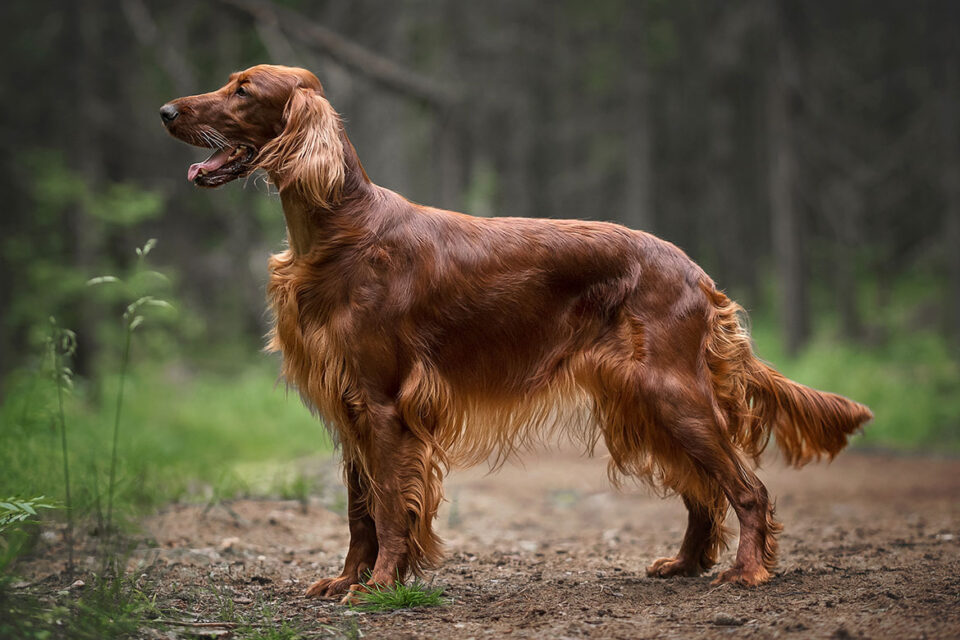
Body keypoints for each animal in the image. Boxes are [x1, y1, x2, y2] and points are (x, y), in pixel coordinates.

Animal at [161, 65, 872, 604]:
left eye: (244, 90)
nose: (166, 110)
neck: (339, 230)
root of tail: (697, 273)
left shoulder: (384, 405)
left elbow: (390, 507)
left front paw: (382, 585)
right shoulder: (350, 405)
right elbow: (360, 509)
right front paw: (345, 580)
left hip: (671, 392)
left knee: (747, 489)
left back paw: (748, 571)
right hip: (643, 400)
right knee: (703, 491)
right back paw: (686, 563)